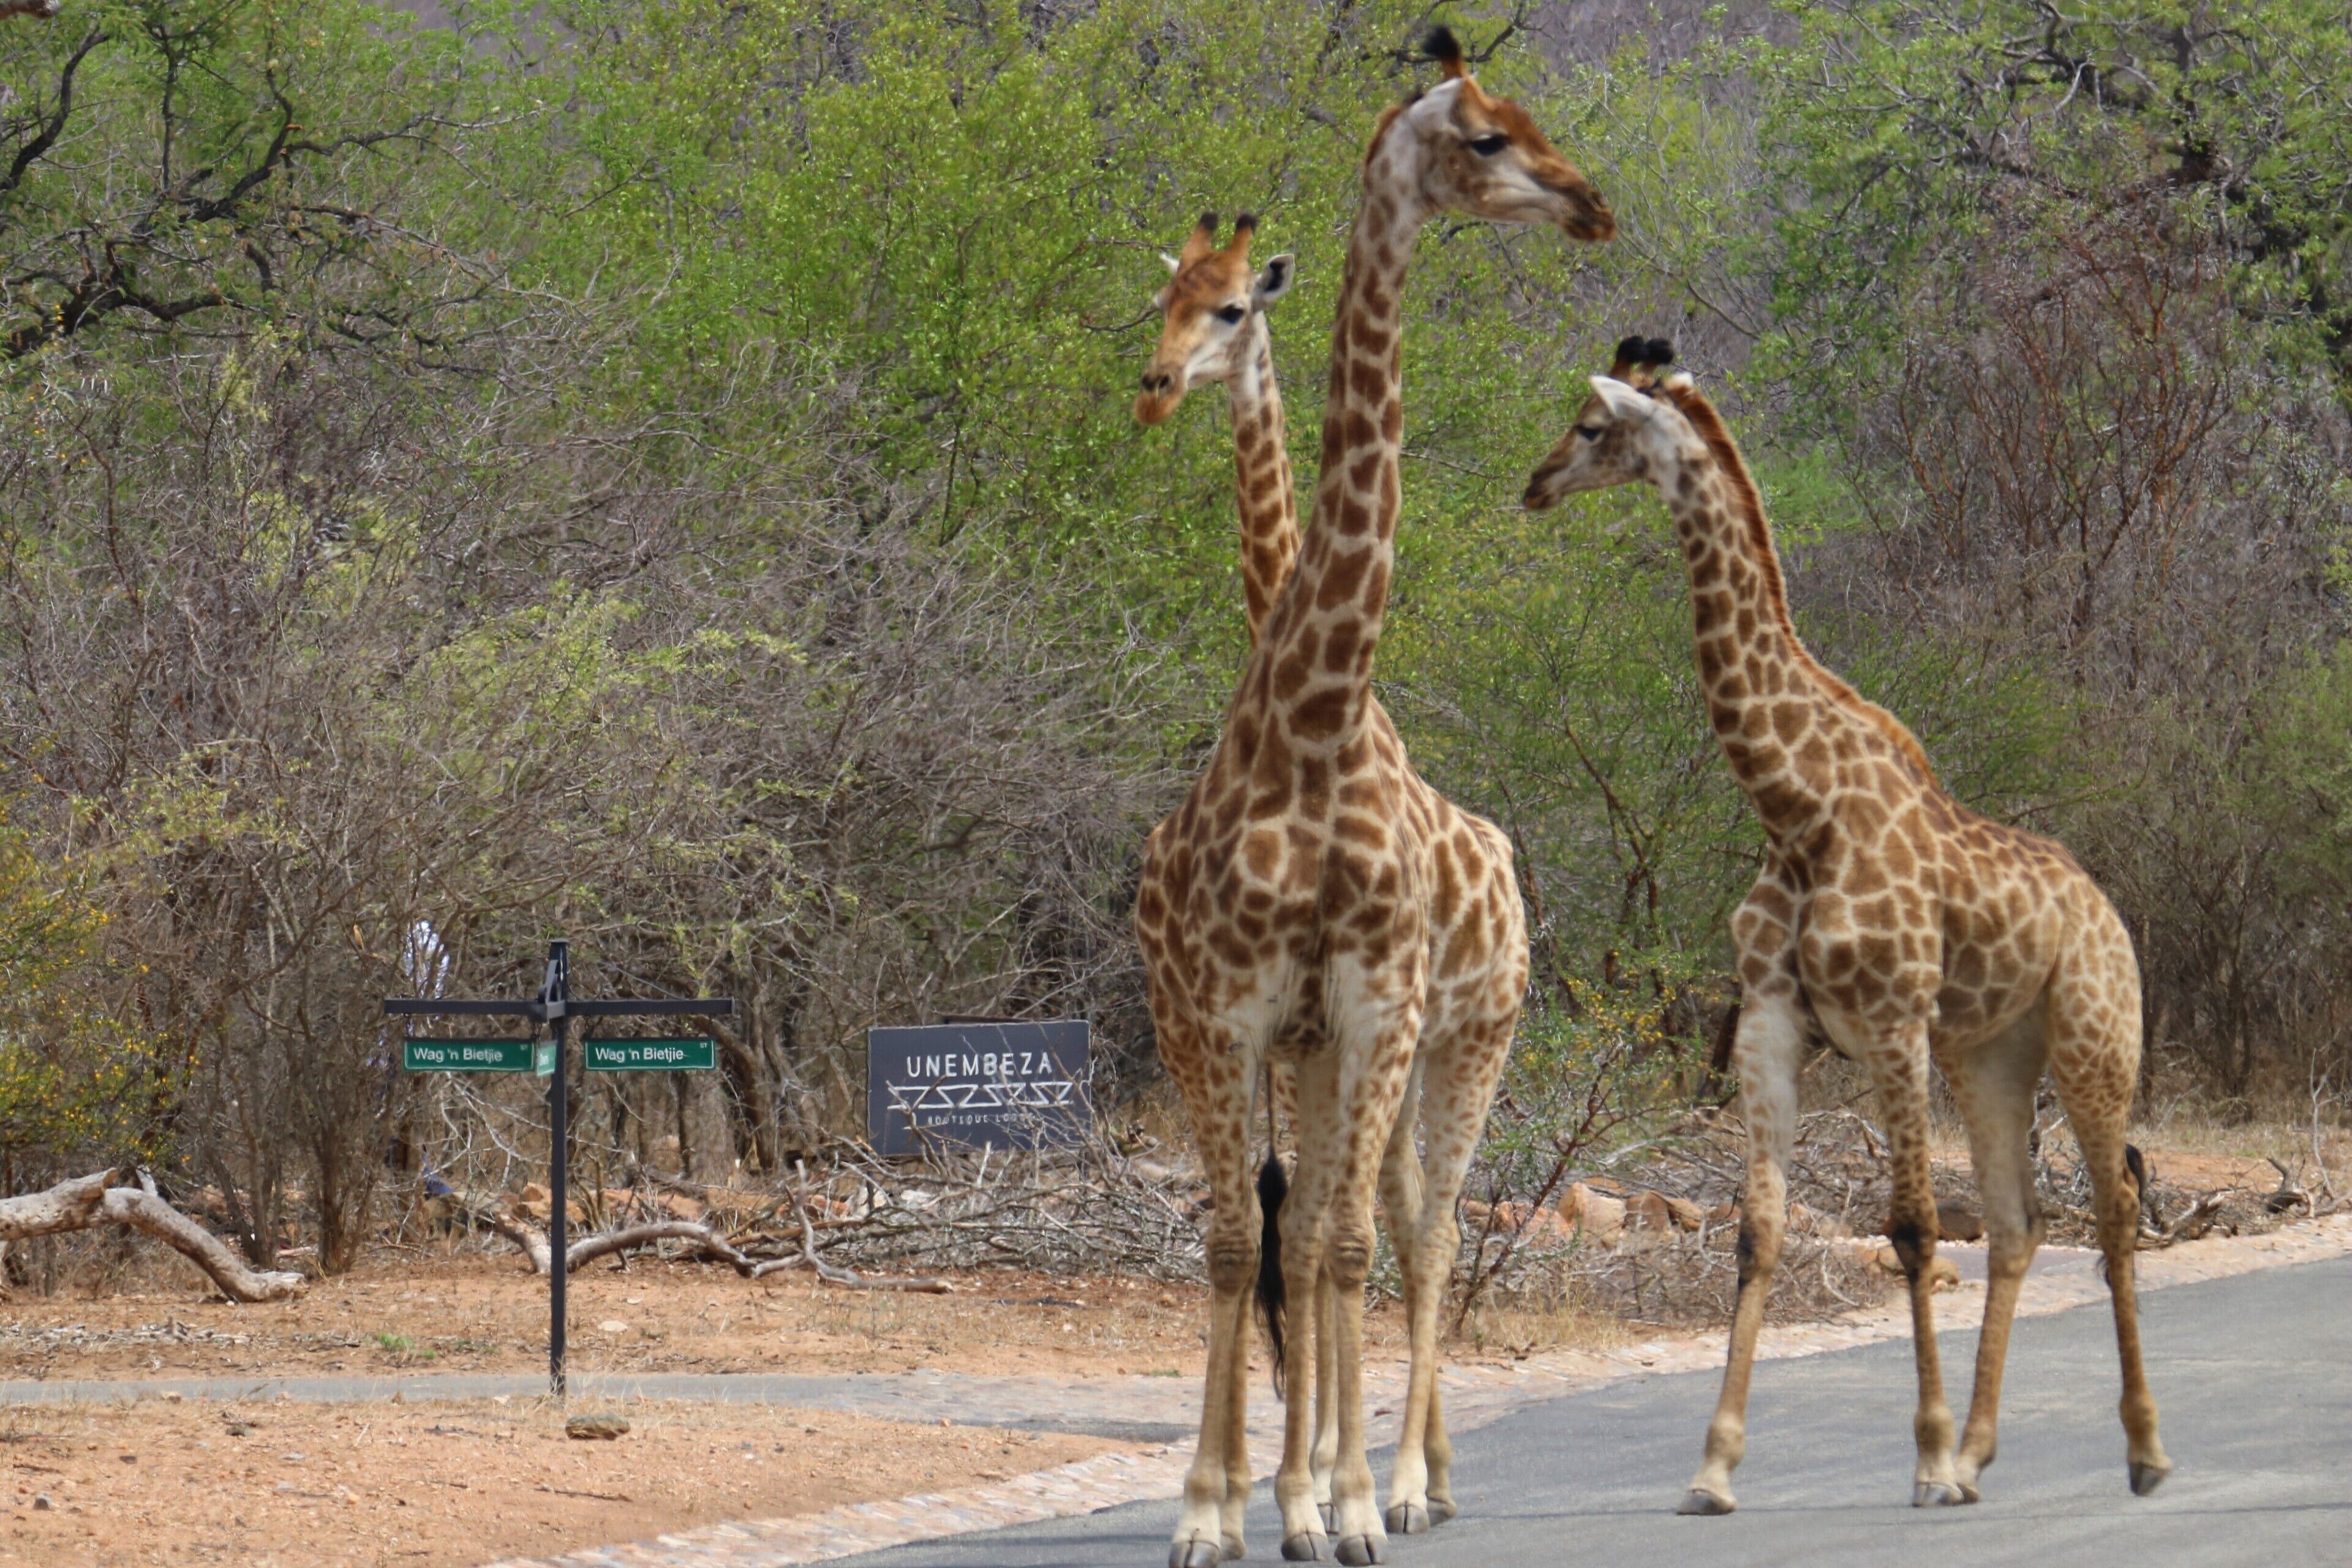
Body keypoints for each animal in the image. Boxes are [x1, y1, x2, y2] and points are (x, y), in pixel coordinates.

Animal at [1132, 32, 1607, 1567]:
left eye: (1232, 308)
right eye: (1485, 136)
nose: (1591, 204)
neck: (1318, 720)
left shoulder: (1371, 1000)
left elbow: (1339, 1242)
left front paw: (1333, 1502)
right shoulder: (1238, 1010)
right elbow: (1243, 1240)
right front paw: (1217, 1506)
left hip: (1468, 1036)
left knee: (1420, 1223)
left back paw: (1407, 1483)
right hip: (1288, 1040)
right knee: (1321, 1226)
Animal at [1521, 342, 2169, 1515]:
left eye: (1592, 428)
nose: (1535, 484)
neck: (1797, 804)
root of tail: (2106, 912)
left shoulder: (1892, 1023)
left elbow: (1911, 1229)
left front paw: (1925, 1458)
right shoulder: (1776, 1023)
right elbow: (1759, 1230)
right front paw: (1715, 1468)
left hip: (2096, 1039)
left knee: (2112, 1211)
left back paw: (2139, 1452)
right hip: (1991, 1055)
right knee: (2019, 1223)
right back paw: (1984, 1452)